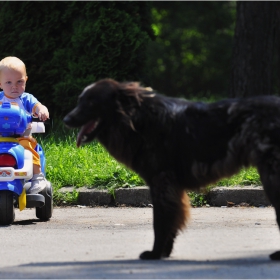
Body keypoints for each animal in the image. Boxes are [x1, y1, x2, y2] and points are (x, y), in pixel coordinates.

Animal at [63, 78, 280, 260]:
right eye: (80, 101)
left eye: (91, 102)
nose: (66, 120)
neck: (138, 120)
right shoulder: (172, 188)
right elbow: (172, 223)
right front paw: (164, 252)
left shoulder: (161, 182)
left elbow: (160, 222)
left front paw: (155, 253)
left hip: (271, 177)